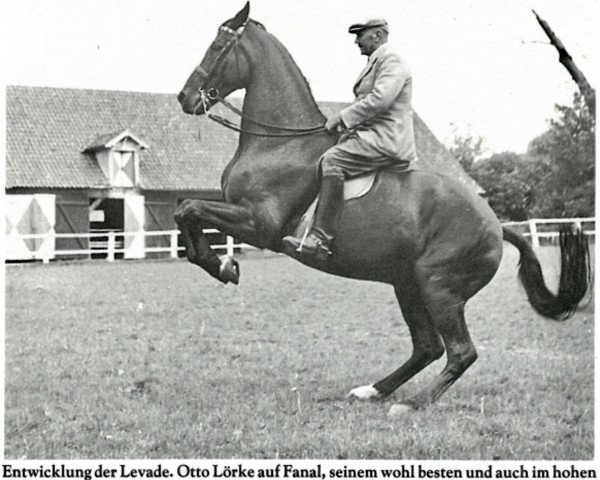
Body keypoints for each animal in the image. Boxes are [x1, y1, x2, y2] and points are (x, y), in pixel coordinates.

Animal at [175, 2, 592, 416]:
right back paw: (373, 391)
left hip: (438, 287)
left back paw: (413, 403)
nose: (184, 97)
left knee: (460, 351)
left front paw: (222, 266)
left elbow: (189, 209)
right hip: (407, 284)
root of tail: (495, 225)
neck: (280, 144)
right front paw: (220, 264)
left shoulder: (260, 224)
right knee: (427, 347)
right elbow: (185, 211)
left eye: (217, 47)